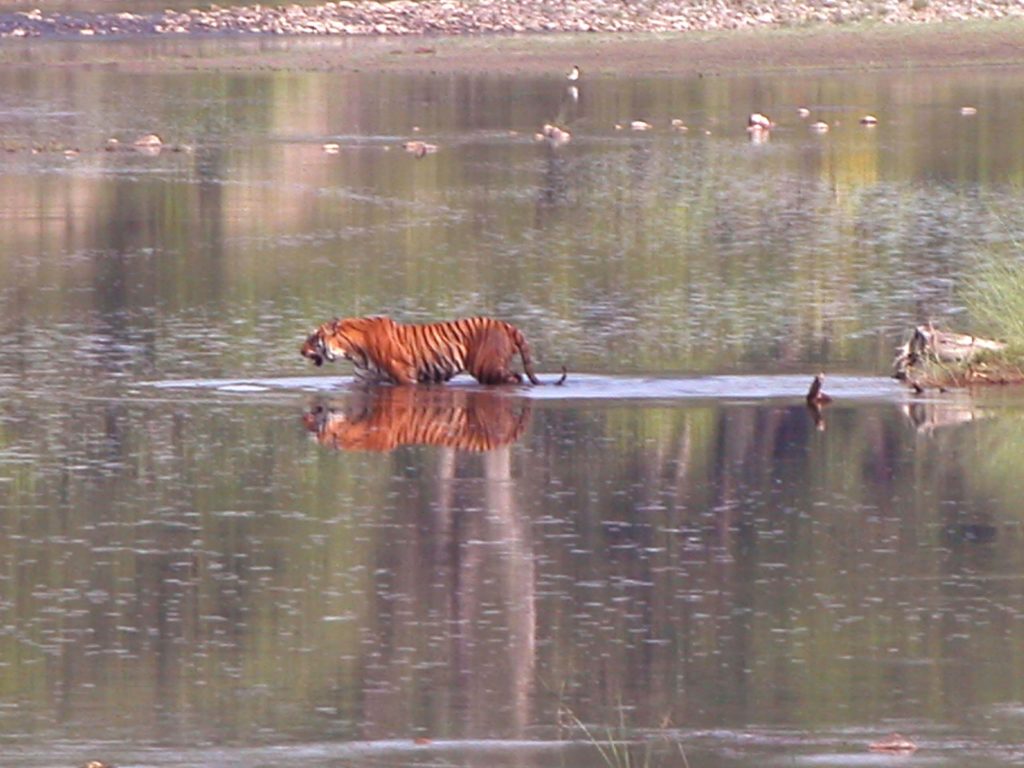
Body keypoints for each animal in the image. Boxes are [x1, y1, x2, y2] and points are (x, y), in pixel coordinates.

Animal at [301, 315, 569, 385]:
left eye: (313, 338)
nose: (300, 351)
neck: (353, 351)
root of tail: (507, 325)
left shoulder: (405, 376)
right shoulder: (363, 378)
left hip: (488, 368)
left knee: (517, 377)